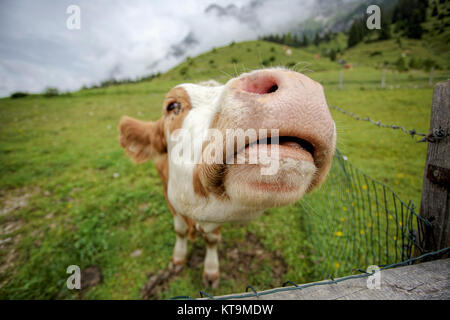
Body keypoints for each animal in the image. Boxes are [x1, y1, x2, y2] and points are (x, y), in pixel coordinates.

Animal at [118, 67, 336, 288]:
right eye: (172, 106)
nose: (301, 86)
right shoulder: (168, 193)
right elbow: (179, 230)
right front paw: (178, 258)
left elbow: (212, 239)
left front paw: (211, 272)